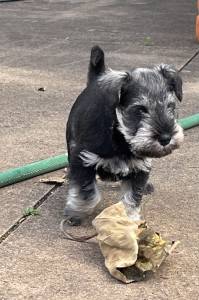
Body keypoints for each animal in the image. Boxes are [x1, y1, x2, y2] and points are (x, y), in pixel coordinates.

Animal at [64, 45, 183, 224]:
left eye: (170, 106)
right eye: (140, 109)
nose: (166, 138)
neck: (121, 139)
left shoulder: (140, 168)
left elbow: (132, 196)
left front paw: (129, 219)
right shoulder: (82, 158)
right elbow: (87, 193)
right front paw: (76, 213)